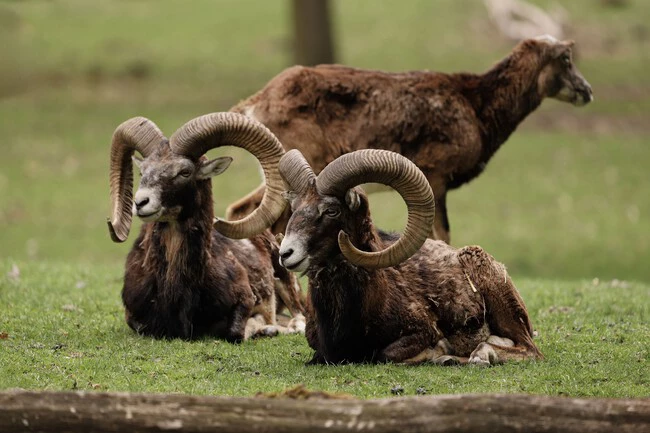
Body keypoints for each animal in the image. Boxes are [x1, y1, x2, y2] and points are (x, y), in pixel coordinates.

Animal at [107, 112, 305, 341]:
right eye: (143, 171)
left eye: (185, 172)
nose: (140, 203)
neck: (174, 289)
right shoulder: (134, 318)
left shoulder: (245, 300)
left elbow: (235, 332)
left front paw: (263, 327)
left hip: (286, 279)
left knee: (299, 319)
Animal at [227, 35, 593, 243]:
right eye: (566, 59)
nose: (587, 91)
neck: (476, 107)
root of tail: (257, 103)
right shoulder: (436, 175)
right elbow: (442, 235)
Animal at [277, 148, 543, 365]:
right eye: (295, 208)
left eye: (332, 210)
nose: (285, 253)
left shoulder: (419, 332)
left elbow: (386, 354)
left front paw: (439, 350)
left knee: (528, 349)